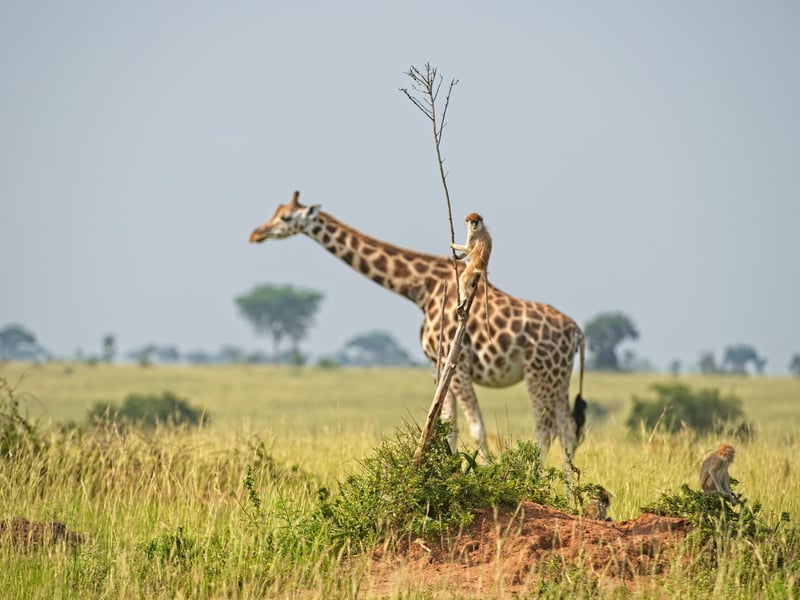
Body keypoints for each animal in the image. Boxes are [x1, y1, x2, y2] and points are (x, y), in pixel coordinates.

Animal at [249, 191, 587, 470]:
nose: (256, 233)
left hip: (538, 374)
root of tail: (576, 331)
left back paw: (535, 481)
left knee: (544, 430)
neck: (421, 288)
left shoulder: (457, 363)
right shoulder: (438, 365)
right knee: (567, 430)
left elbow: (476, 428)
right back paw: (569, 493)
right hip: (559, 377)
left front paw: (485, 474)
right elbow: (446, 426)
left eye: (285, 217)